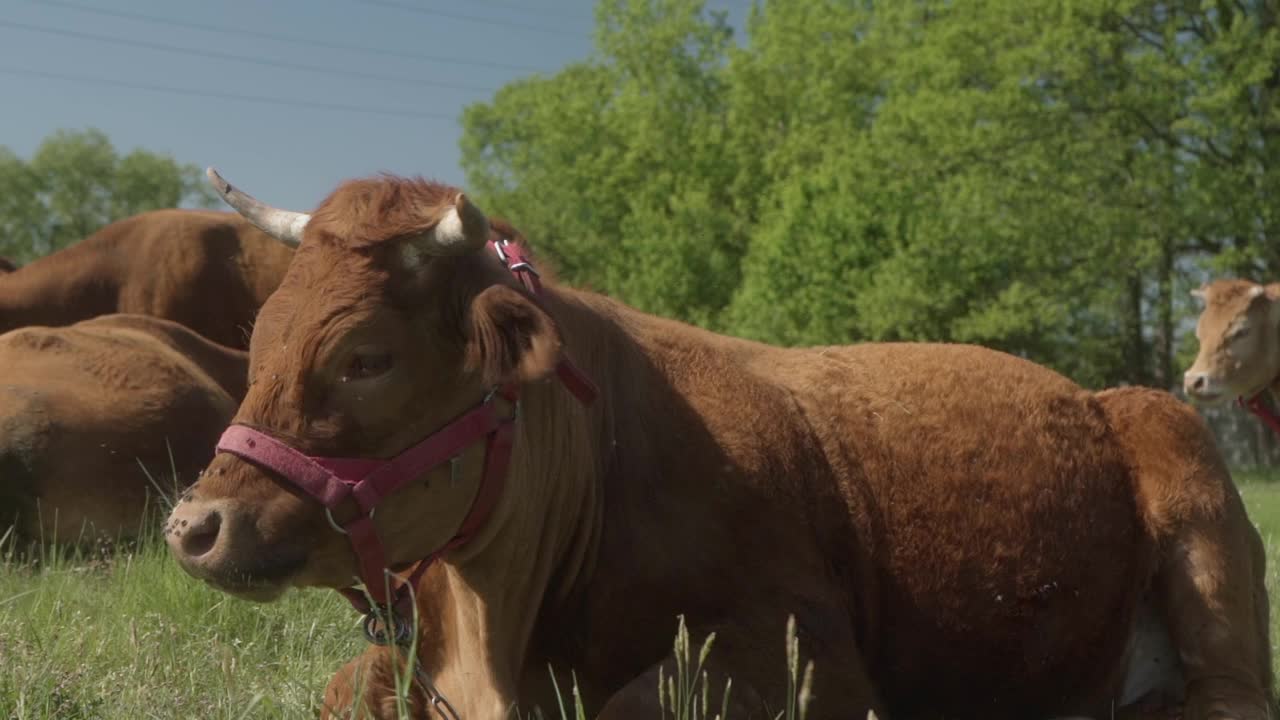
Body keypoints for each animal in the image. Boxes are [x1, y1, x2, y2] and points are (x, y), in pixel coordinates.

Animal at [165, 169, 1264, 717]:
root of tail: (1093, 393)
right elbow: (346, 686)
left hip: (1195, 506)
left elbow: (632, 706)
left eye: (364, 357)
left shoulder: (808, 659)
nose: (193, 525)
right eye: (258, 340)